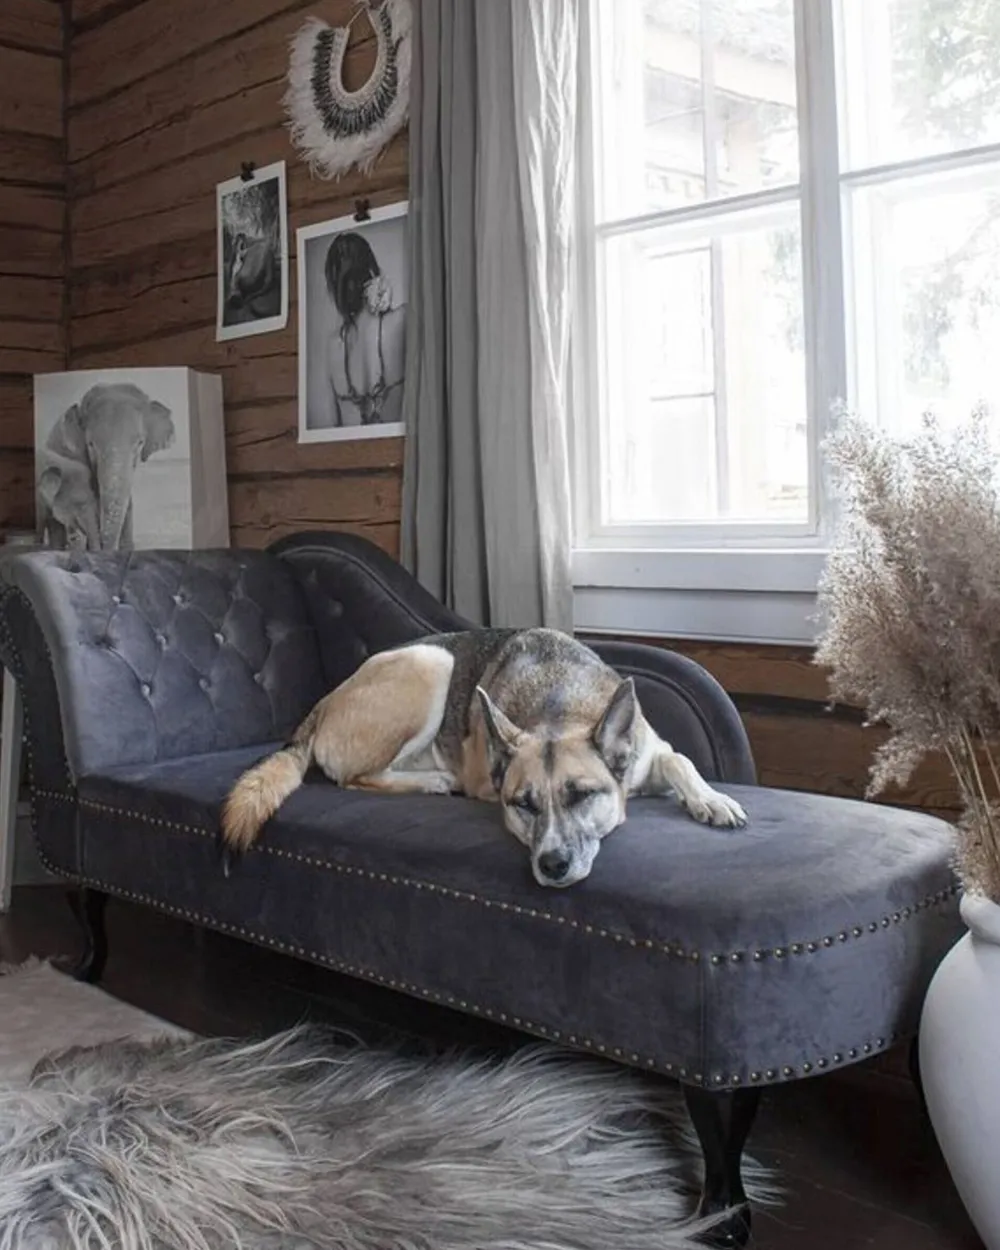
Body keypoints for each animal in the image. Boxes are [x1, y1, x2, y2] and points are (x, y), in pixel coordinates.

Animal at [220, 628, 747, 888]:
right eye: (523, 804)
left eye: (581, 796)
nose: (552, 866)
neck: (557, 704)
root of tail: (323, 703)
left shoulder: (648, 753)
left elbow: (680, 761)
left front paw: (711, 800)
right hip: (431, 662)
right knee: (356, 777)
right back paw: (433, 781)